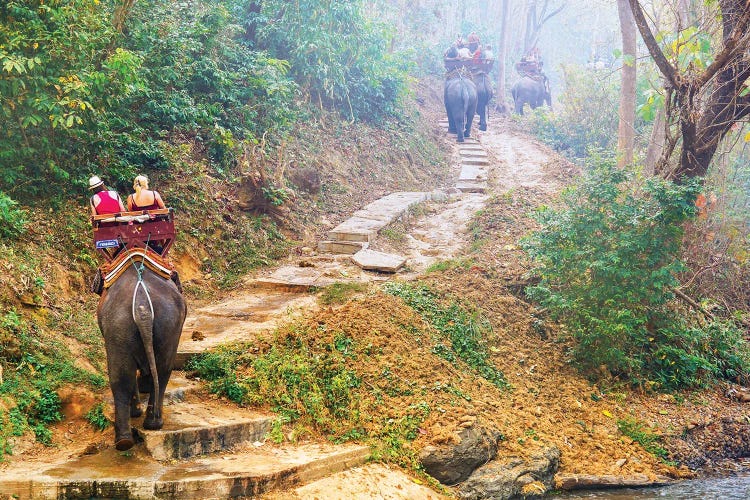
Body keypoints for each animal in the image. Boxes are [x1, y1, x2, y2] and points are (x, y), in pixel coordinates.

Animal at [96, 264, 187, 452]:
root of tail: (142, 305)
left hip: (120, 327)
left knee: (121, 377)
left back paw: (125, 439)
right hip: (165, 324)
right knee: (162, 369)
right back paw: (151, 424)